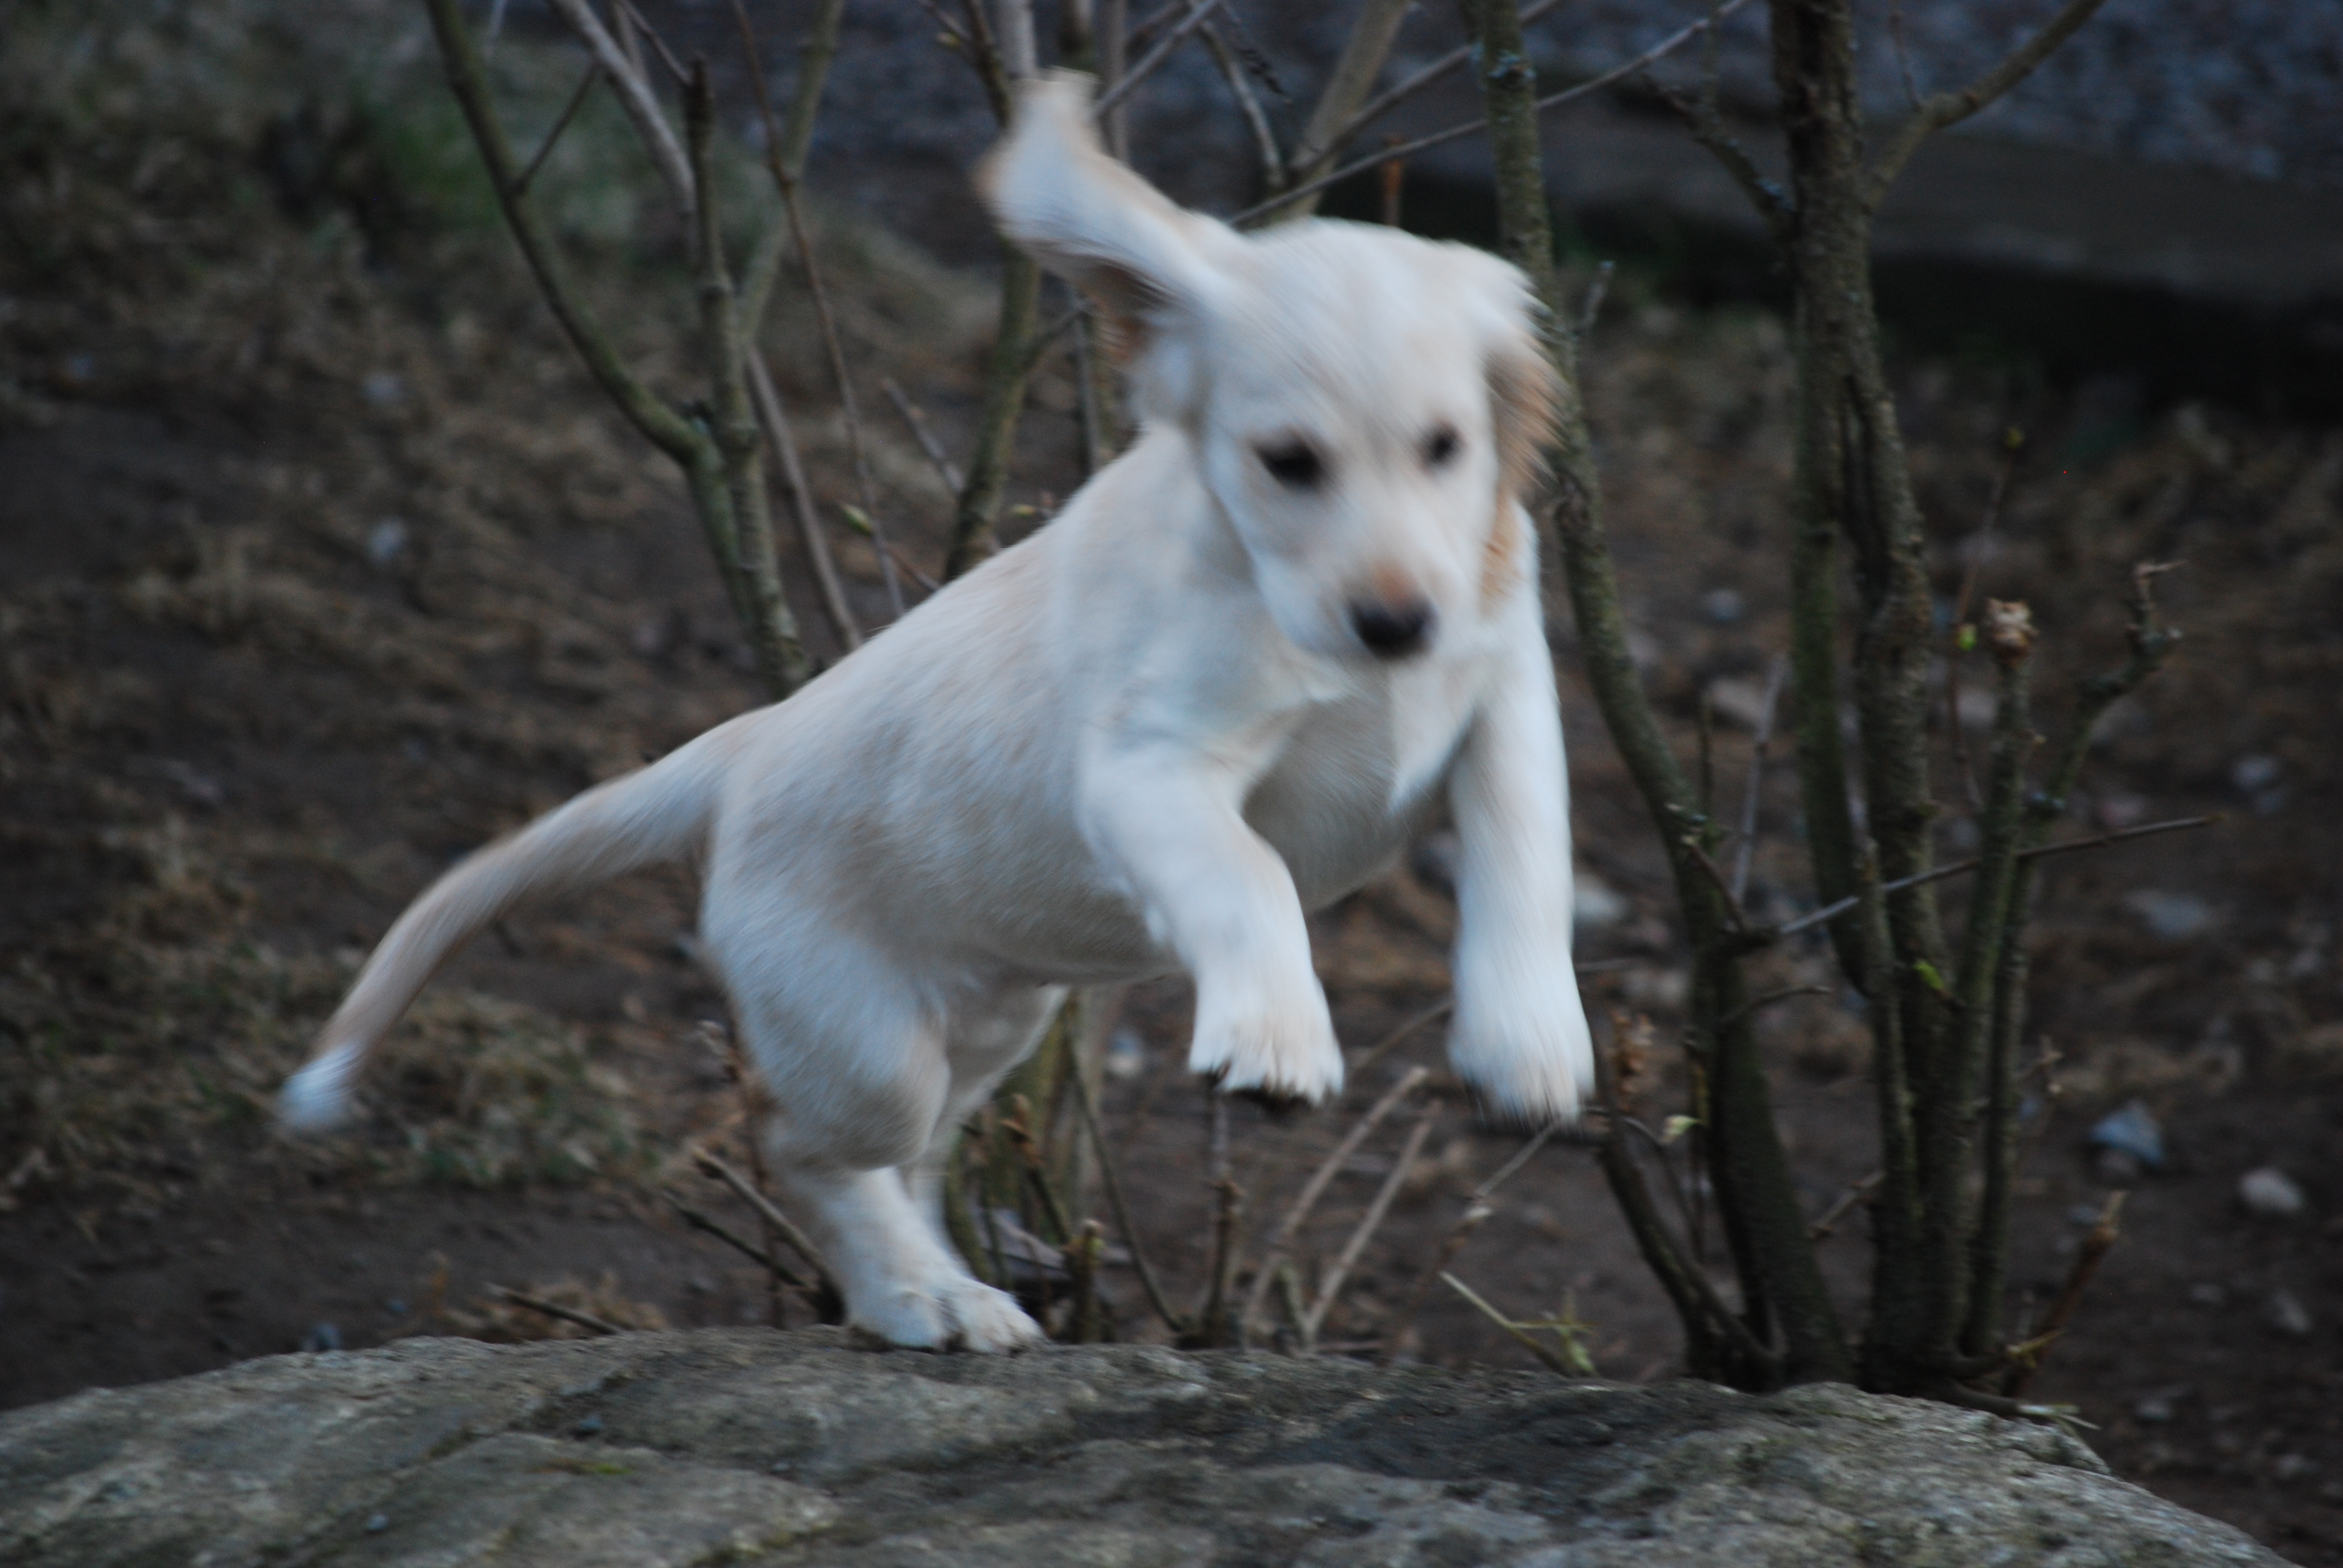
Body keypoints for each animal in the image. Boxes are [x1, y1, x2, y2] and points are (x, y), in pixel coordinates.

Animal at [278, 72, 1594, 1352]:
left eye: (1446, 446)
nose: (1395, 624)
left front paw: (1525, 1045)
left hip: (994, 1019)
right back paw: (920, 1296)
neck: (1290, 610)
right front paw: (1276, 1034)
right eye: (1287, 462)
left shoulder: (1503, 686)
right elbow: (1248, 872)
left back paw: (946, 1287)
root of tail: (749, 744)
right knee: (806, 1148)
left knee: (911, 1166)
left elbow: (1525, 852)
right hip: (867, 1043)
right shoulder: (1147, 766)